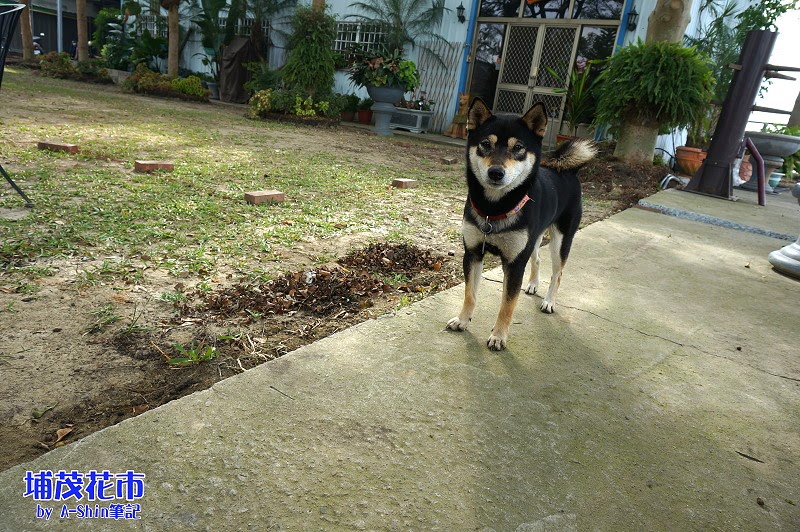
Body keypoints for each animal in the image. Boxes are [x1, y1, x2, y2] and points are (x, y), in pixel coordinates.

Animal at [446, 97, 596, 352]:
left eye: (518, 148)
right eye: (485, 144)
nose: (496, 173)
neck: (493, 210)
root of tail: (569, 170)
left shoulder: (515, 263)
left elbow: (507, 304)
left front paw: (498, 336)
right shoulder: (473, 252)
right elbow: (470, 294)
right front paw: (463, 320)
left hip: (561, 240)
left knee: (557, 273)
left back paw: (548, 301)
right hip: (533, 239)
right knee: (537, 259)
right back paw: (533, 285)